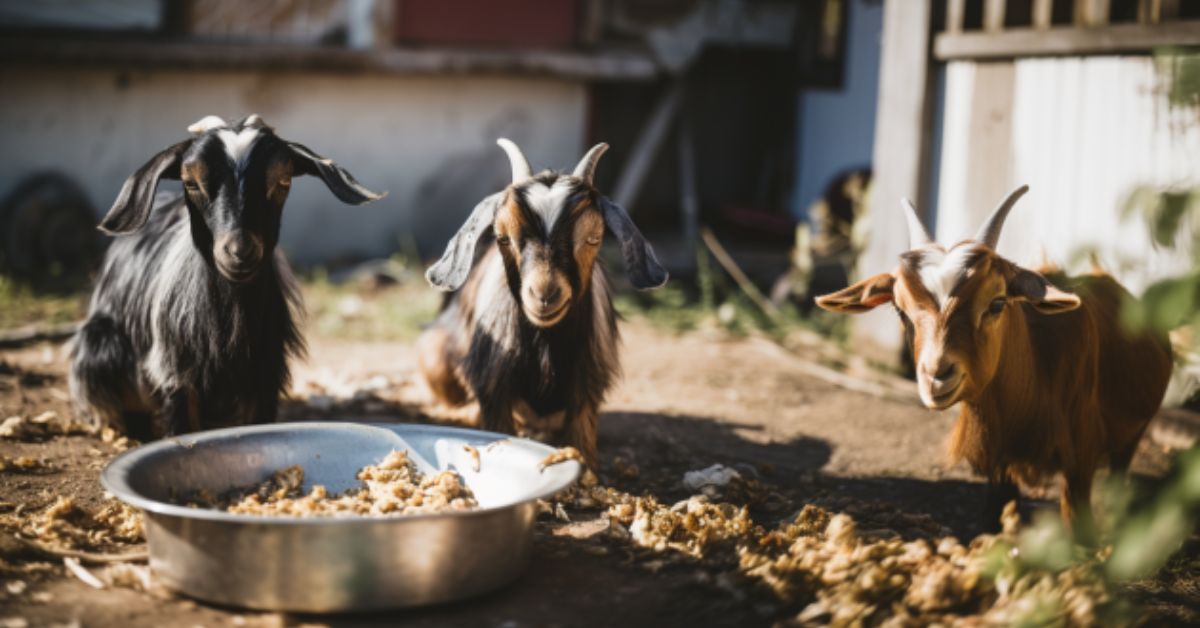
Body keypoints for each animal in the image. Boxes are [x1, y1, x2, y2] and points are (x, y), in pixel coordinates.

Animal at [70, 114, 383, 439]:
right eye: (190, 182)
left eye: (283, 181)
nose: (239, 251)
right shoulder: (175, 371)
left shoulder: (264, 373)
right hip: (100, 344)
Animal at [815, 185, 1172, 532]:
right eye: (900, 311)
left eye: (997, 303)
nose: (937, 376)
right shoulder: (997, 462)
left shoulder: (1080, 461)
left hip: (1132, 435)